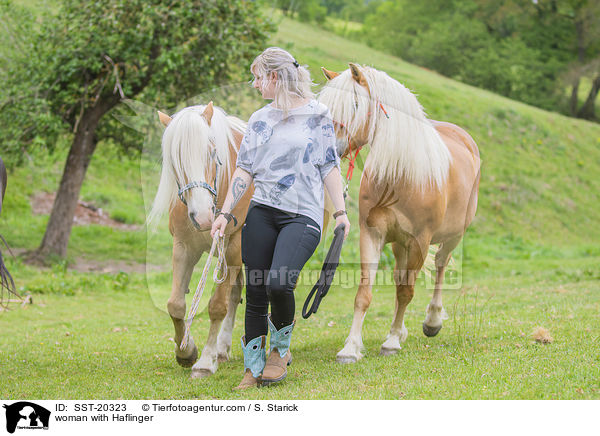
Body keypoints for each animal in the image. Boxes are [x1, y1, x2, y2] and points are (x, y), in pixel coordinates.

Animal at [151, 102, 254, 378]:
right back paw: (223, 348)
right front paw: (186, 352)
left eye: (211, 153)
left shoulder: (234, 245)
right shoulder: (184, 247)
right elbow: (175, 305)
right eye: (174, 160)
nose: (203, 216)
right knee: (236, 293)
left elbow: (217, 305)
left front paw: (206, 361)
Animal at [318, 62, 482, 362]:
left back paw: (432, 321)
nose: (326, 148)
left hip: (452, 236)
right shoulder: (373, 235)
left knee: (440, 264)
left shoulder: (419, 241)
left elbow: (407, 292)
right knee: (400, 276)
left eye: (355, 104)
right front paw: (351, 347)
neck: (399, 176)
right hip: (399, 244)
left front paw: (392, 341)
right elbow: (365, 293)